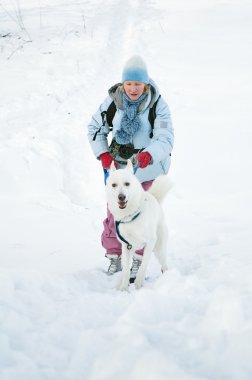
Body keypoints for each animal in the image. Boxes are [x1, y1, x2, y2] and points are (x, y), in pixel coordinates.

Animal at [105, 160, 172, 290]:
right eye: (114, 185)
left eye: (127, 184)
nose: (121, 197)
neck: (130, 216)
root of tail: (155, 199)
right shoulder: (126, 247)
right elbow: (126, 270)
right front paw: (123, 288)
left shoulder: (150, 242)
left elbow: (143, 265)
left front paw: (138, 284)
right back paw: (119, 283)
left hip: (159, 249)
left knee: (164, 266)